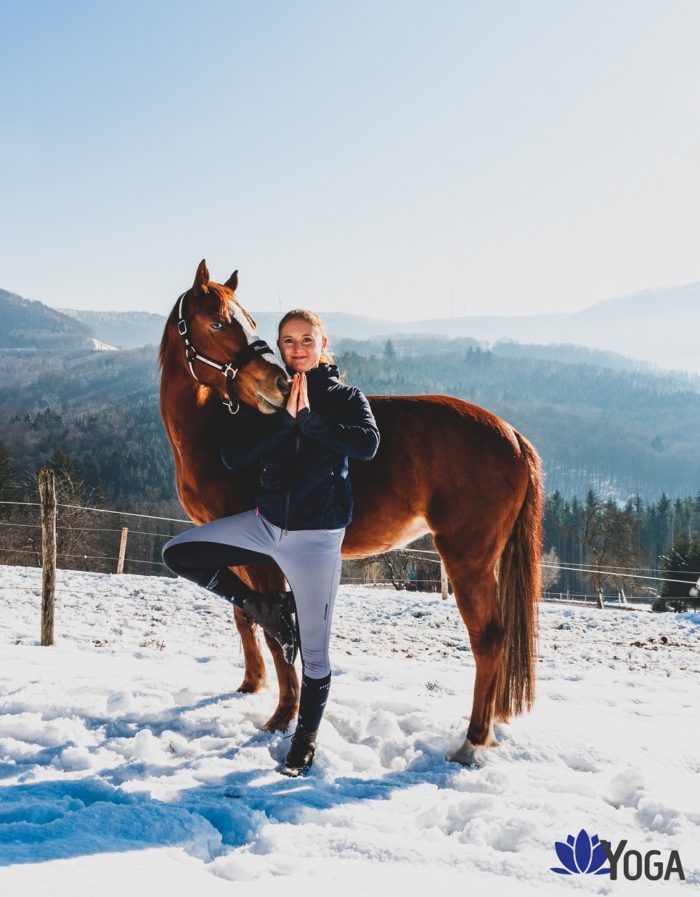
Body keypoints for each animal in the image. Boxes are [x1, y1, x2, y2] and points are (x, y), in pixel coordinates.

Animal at [159, 260, 540, 764]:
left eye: (249, 322)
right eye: (220, 323)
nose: (280, 384)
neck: (217, 432)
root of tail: (512, 435)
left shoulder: (263, 560)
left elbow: (275, 633)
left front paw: (280, 717)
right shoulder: (231, 549)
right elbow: (245, 617)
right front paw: (250, 685)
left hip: (468, 560)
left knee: (489, 639)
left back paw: (471, 741)